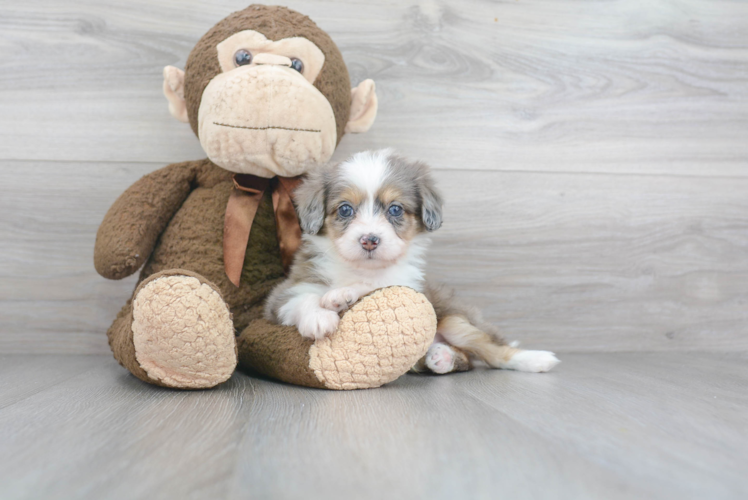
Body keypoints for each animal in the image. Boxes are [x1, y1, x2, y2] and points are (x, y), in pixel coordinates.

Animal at [266, 150, 560, 374]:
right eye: (345, 209)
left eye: (395, 209)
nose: (369, 240)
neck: (361, 269)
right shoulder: (282, 294)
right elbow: (302, 298)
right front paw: (319, 317)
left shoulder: (406, 289)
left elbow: (373, 287)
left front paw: (341, 296)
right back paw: (440, 356)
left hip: (455, 320)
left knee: (491, 351)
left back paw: (536, 359)